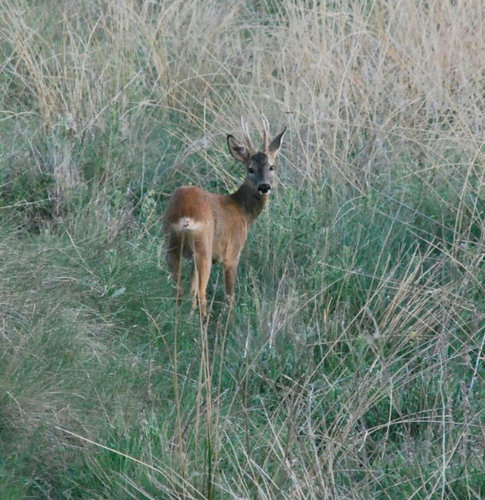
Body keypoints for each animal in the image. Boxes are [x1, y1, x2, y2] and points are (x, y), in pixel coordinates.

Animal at [161, 116, 286, 316]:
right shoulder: (232, 253)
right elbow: (230, 296)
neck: (241, 211)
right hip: (203, 247)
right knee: (202, 294)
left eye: (271, 167)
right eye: (250, 169)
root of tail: (185, 215)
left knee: (180, 291)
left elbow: (190, 289)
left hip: (171, 245)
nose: (264, 186)